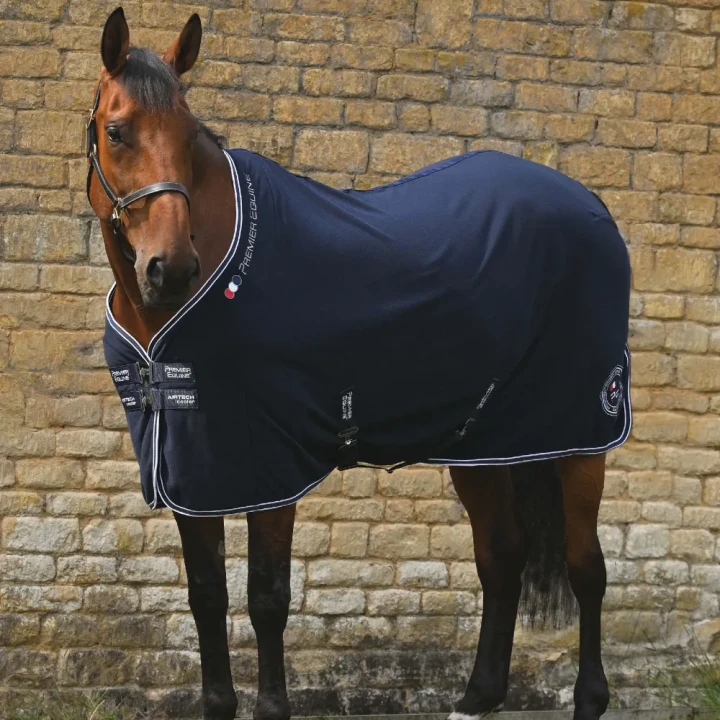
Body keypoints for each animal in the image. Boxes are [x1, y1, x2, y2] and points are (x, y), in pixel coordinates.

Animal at [86, 8, 631, 720]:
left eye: (188, 131)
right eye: (116, 131)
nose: (170, 268)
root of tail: (590, 206)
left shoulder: (269, 467)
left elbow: (267, 600)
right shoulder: (192, 469)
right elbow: (206, 595)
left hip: (582, 437)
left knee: (585, 565)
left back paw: (588, 697)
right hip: (482, 443)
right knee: (503, 555)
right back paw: (477, 695)